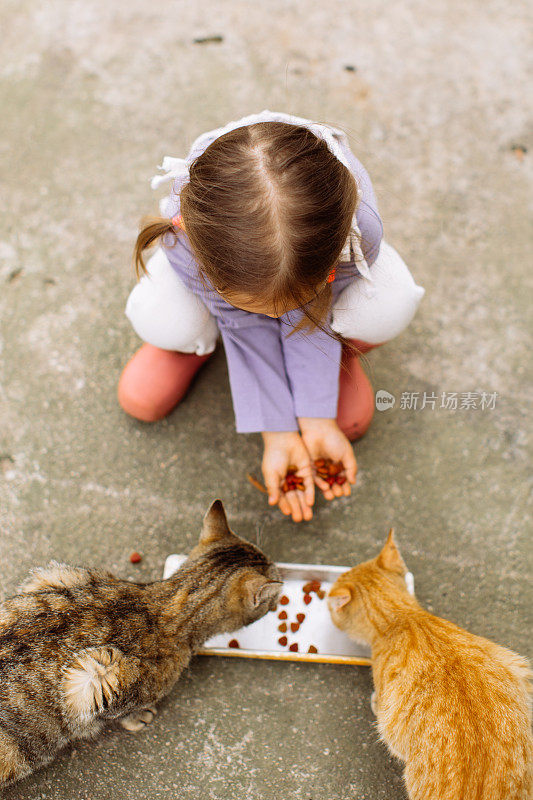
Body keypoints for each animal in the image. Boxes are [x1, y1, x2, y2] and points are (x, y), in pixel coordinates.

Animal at [0, 500, 282, 780]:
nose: (279, 597)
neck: (167, 601)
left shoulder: (55, 576)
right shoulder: (100, 675)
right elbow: (112, 711)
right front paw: (137, 717)